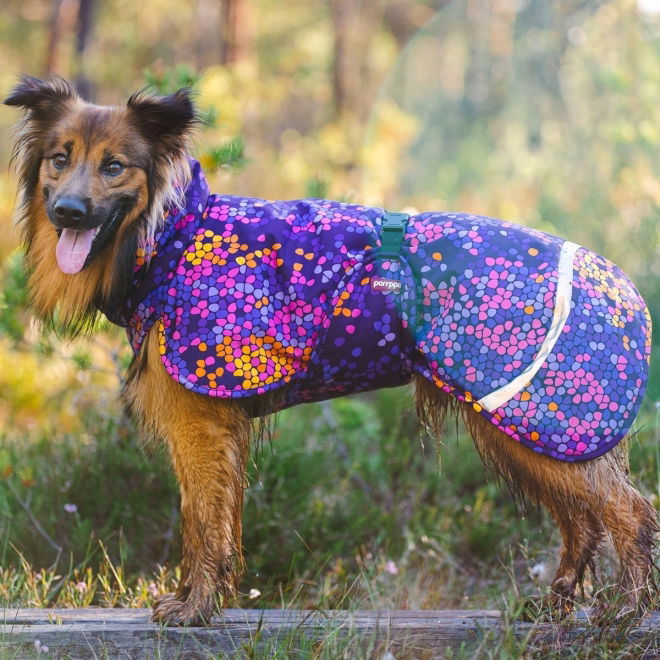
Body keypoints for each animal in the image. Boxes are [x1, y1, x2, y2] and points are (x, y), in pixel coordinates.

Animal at [3, 76, 656, 624]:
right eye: (60, 159)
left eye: (114, 166)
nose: (67, 211)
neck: (168, 236)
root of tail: (616, 283)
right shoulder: (215, 427)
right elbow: (213, 521)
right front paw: (203, 599)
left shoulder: (201, 422)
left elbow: (203, 524)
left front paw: (196, 608)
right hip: (525, 432)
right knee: (580, 520)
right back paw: (557, 602)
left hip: (543, 422)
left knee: (628, 510)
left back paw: (626, 607)